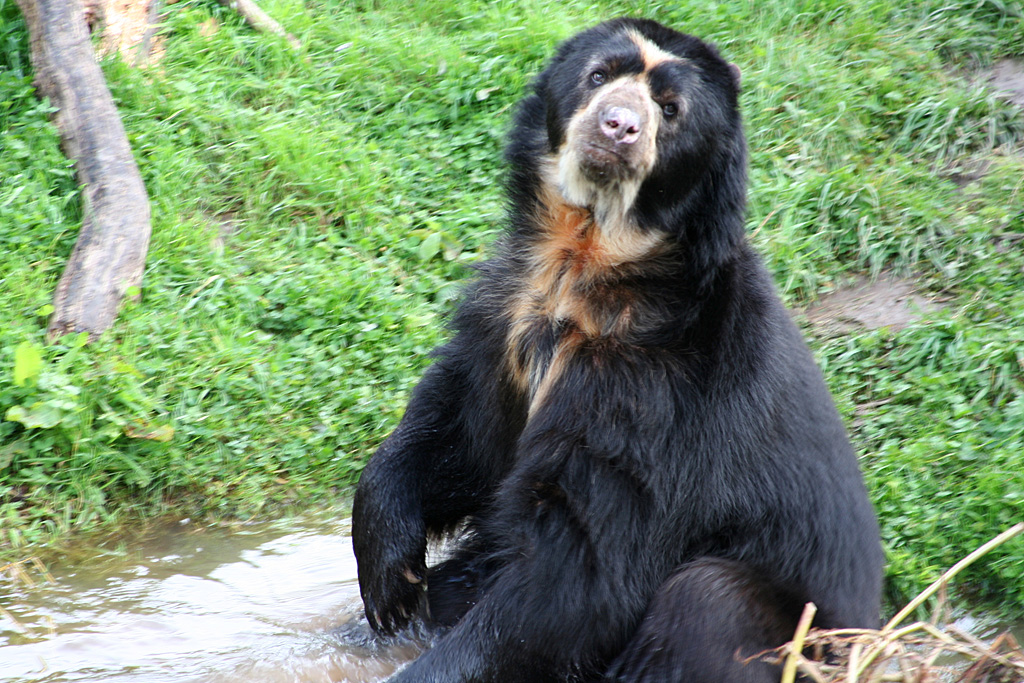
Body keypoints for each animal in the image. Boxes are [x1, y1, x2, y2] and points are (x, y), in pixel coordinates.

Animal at [351, 17, 884, 683]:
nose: (618, 127)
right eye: (599, 74)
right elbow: (462, 435)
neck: (588, 257)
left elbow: (583, 566)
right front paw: (391, 580)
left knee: (706, 599)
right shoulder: (506, 323)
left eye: (671, 109)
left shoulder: (654, 398)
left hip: (808, 633)